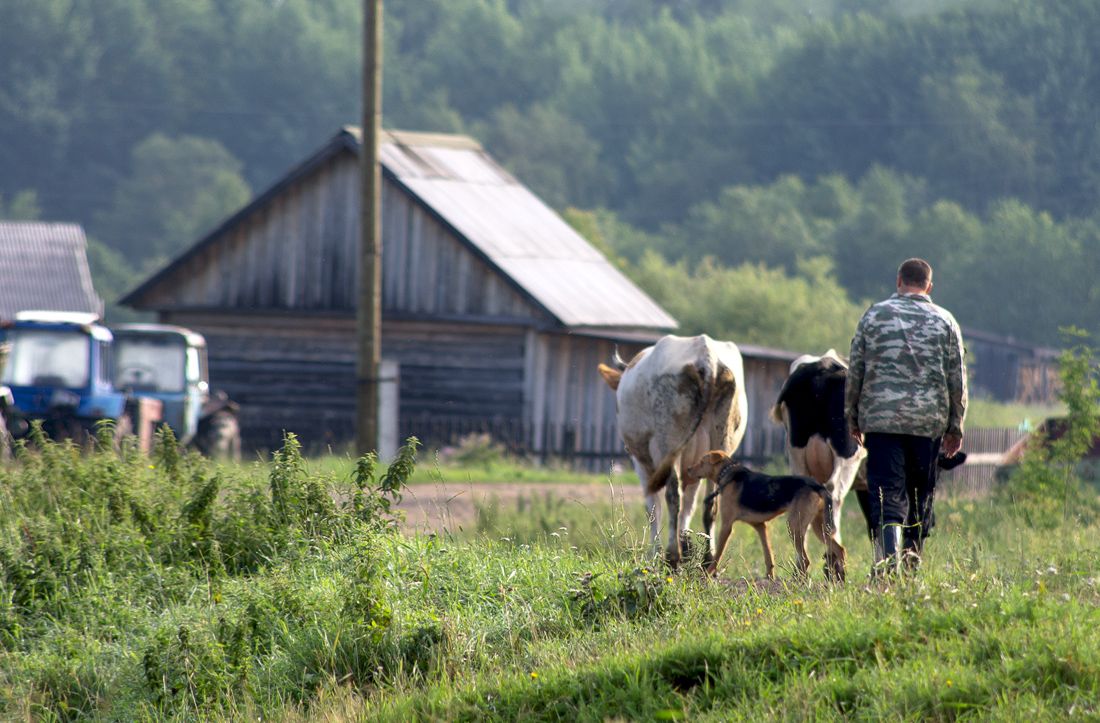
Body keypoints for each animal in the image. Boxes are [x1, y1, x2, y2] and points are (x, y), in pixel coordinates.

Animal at [597, 334, 748, 569]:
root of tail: (706, 356)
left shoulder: (643, 464)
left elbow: (653, 507)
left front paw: (656, 552)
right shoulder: (697, 467)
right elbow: (690, 505)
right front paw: (686, 545)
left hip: (667, 444)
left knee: (672, 495)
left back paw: (672, 556)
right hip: (721, 442)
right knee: (710, 502)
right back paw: (707, 559)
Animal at [684, 450, 844, 580]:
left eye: (701, 462)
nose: (688, 469)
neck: (728, 474)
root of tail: (817, 485)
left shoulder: (726, 525)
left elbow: (718, 554)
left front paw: (707, 574)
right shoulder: (761, 526)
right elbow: (768, 556)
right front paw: (769, 577)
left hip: (794, 525)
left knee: (805, 560)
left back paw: (800, 583)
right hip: (819, 526)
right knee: (840, 549)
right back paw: (841, 581)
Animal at [769, 350, 865, 580]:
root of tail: (824, 366)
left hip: (797, 454)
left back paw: (802, 569)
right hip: (847, 453)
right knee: (834, 494)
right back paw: (835, 565)